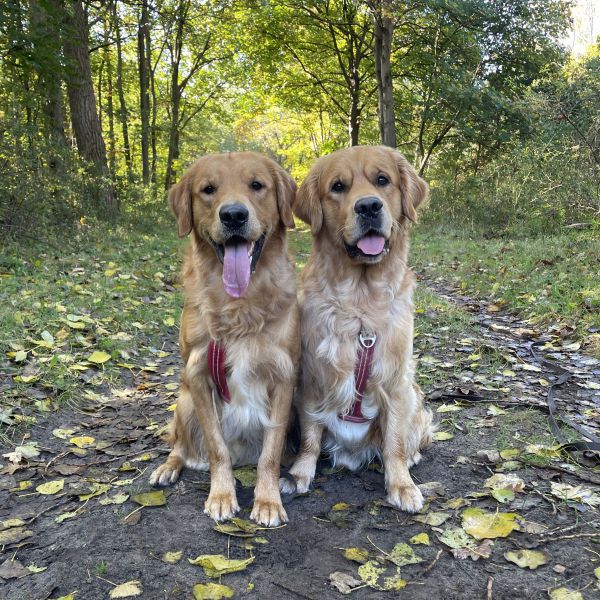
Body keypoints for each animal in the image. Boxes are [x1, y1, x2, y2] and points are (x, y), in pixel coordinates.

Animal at [150, 151, 300, 524]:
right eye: (208, 190)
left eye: (257, 185)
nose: (233, 215)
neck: (240, 306)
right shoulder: (199, 374)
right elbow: (217, 449)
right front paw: (221, 495)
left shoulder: (284, 377)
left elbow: (270, 452)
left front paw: (268, 500)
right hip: (185, 400)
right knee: (179, 445)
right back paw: (168, 467)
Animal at [284, 144, 434, 510]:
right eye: (338, 187)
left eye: (383, 181)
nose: (368, 206)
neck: (360, 302)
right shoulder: (312, 378)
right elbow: (310, 436)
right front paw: (299, 474)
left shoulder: (396, 382)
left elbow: (394, 442)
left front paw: (401, 485)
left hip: (414, 398)